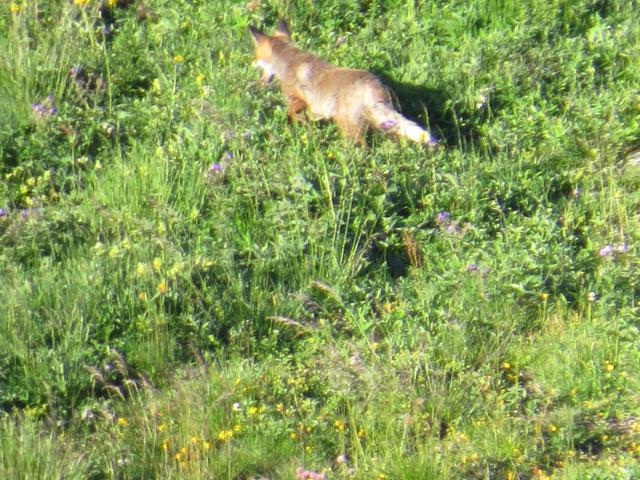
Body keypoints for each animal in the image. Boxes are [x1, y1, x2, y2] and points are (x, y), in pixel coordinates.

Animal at [248, 18, 438, 147]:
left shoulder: (296, 98)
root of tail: (374, 88)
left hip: (349, 127)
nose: (251, 65)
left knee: (361, 147)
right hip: (383, 123)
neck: (289, 62)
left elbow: (294, 113)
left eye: (256, 56)